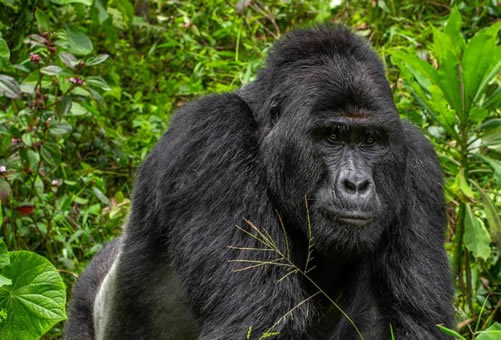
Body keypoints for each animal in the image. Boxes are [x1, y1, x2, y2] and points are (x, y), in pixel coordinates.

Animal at [62, 25, 454, 340]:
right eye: (332, 136)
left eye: (370, 140)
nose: (356, 184)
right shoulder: (212, 135)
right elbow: (258, 320)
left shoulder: (418, 163)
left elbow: (414, 323)